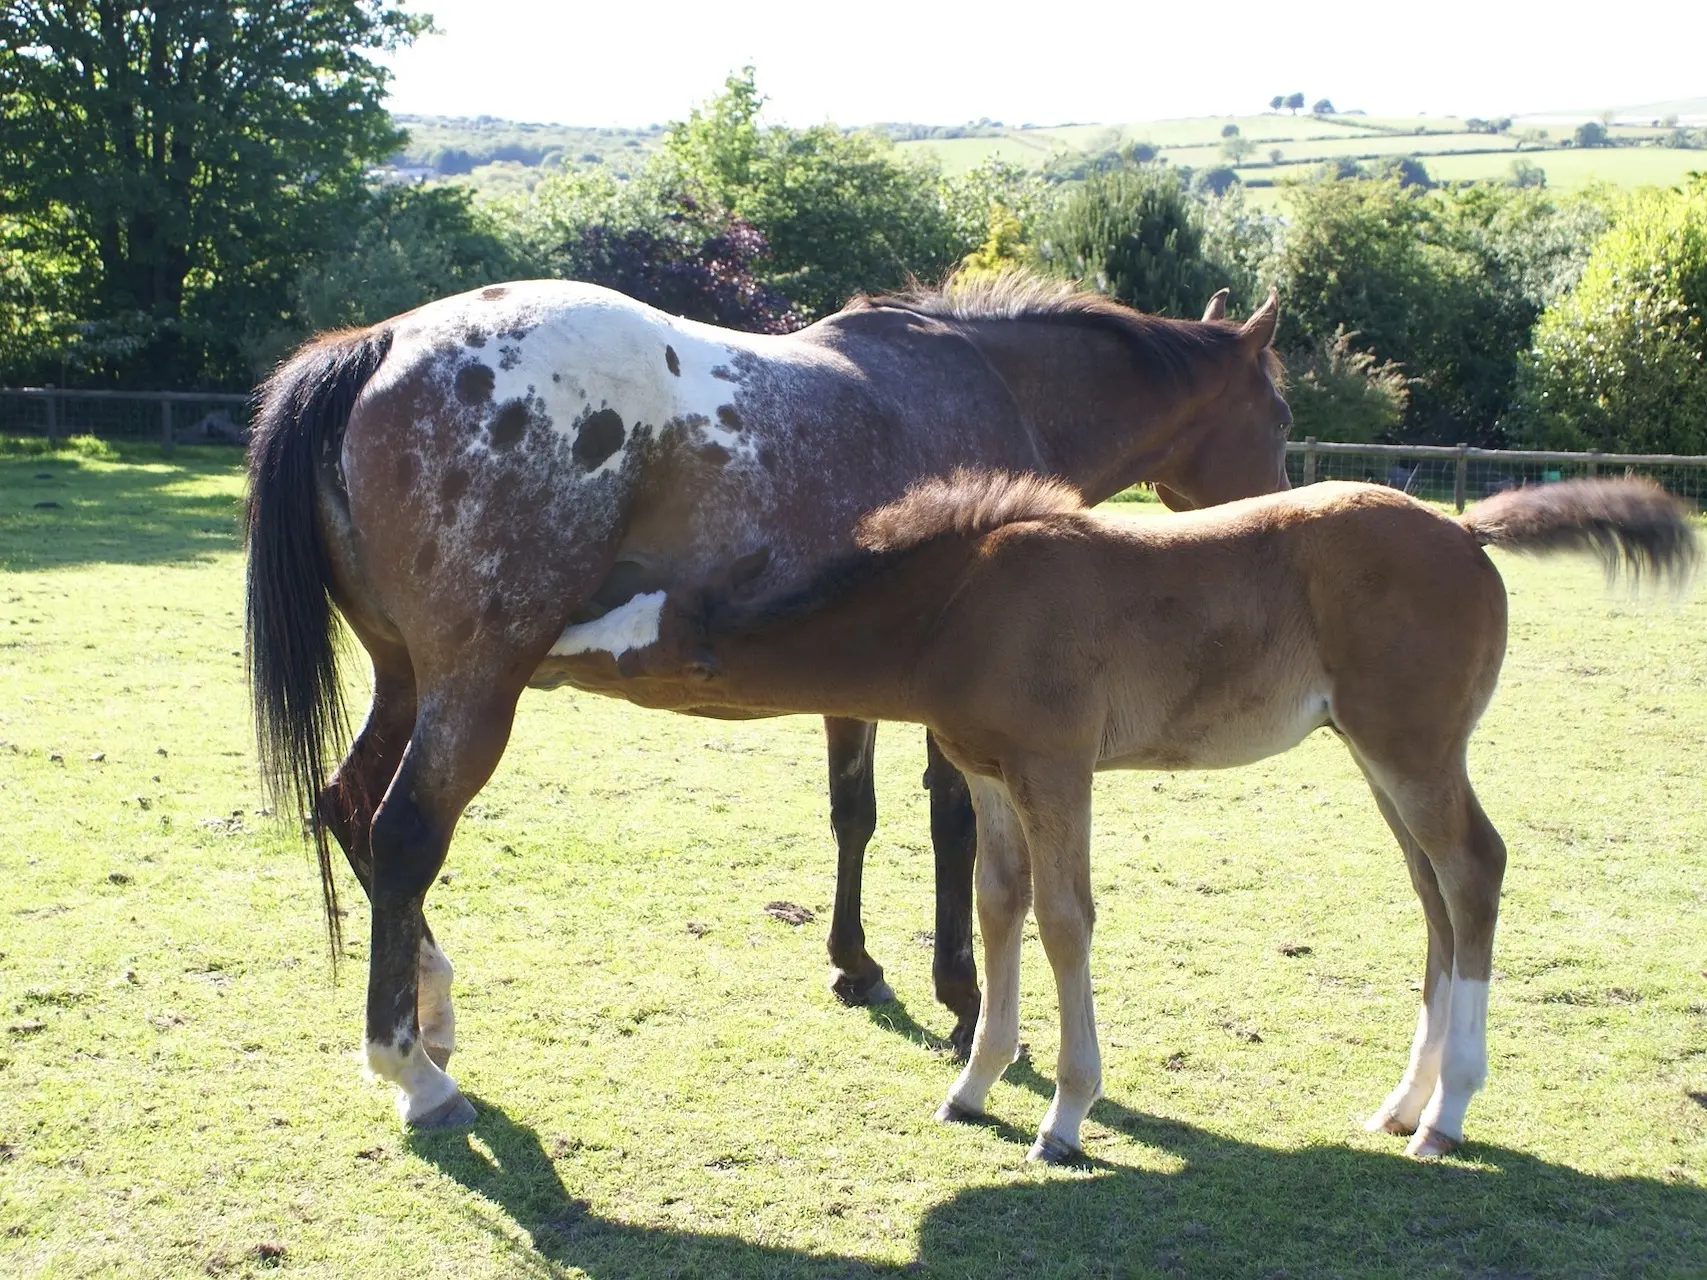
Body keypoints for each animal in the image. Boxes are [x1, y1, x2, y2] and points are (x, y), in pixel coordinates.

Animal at [237, 271, 1283, 1119]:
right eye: (1276, 413)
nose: (1277, 503)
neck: (989, 382)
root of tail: (379, 345)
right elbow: (949, 828)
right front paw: (960, 997)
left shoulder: (862, 682)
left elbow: (852, 814)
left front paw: (854, 964)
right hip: (474, 688)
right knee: (405, 833)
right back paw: (412, 1070)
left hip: (406, 681)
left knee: (349, 805)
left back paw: (433, 1004)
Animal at [645, 471, 1700, 1160]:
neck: (962, 599)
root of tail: (1466, 530)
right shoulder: (989, 774)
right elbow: (998, 907)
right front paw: (974, 1085)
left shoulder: (1056, 768)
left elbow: (1065, 921)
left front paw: (1064, 1116)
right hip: (1379, 755)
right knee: (1433, 893)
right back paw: (1404, 1104)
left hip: (1413, 748)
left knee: (1474, 870)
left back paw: (1447, 1117)